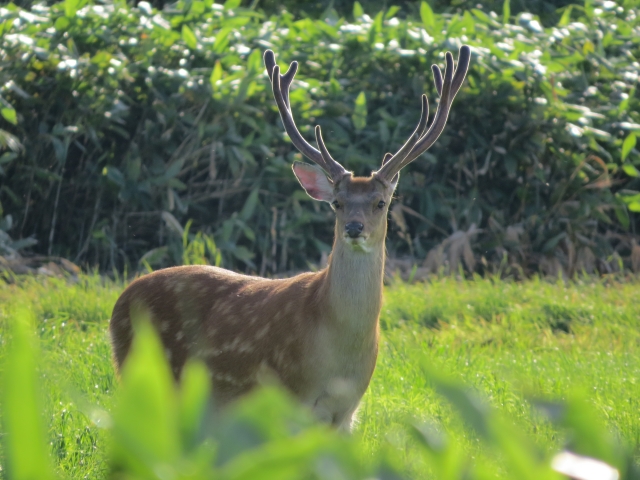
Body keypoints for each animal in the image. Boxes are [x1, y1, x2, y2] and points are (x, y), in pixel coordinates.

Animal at [110, 46, 470, 432]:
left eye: (381, 202)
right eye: (337, 203)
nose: (353, 228)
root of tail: (118, 303)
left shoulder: (346, 413)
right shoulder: (288, 398)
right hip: (144, 373)